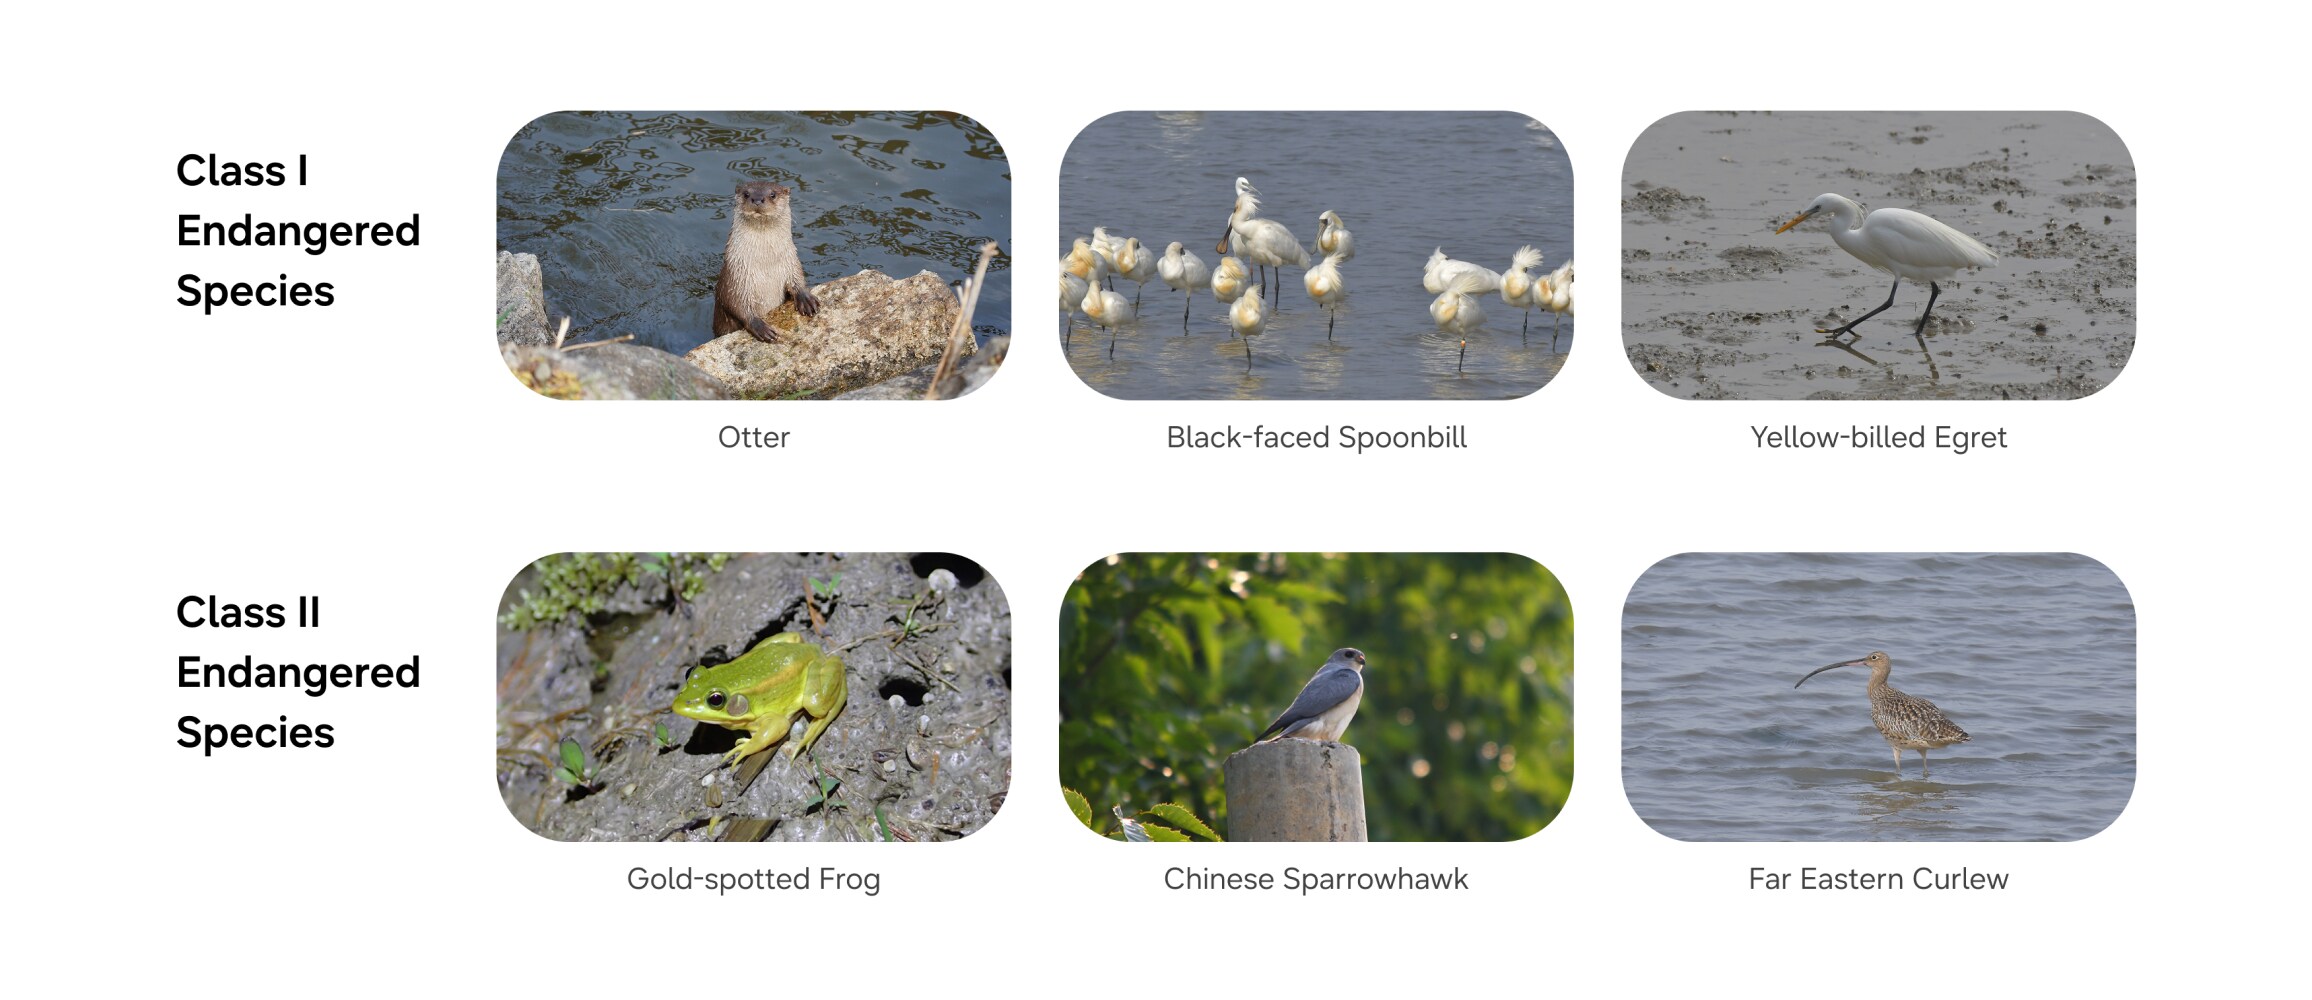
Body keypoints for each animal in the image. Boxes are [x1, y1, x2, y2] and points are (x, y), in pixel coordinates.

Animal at [712, 181, 818, 342]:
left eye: (772, 194)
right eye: (746, 194)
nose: (757, 199)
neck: (766, 265)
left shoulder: (791, 262)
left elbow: (797, 279)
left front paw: (805, 299)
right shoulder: (735, 277)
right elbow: (736, 304)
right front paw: (760, 327)